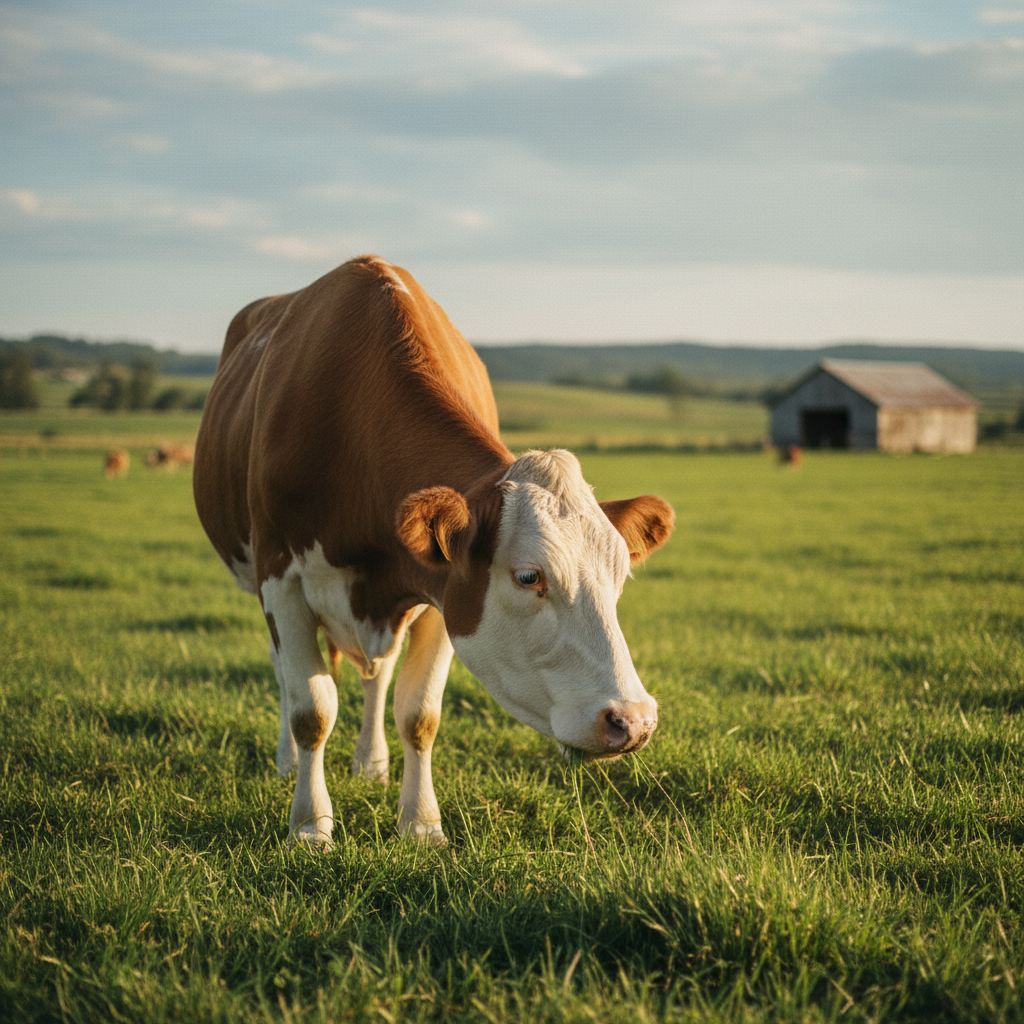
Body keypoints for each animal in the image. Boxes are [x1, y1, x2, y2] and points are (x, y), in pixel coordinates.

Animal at [193, 256, 674, 846]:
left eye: (619, 576)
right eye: (528, 577)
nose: (634, 720)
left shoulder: (441, 595)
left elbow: (419, 713)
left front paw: (420, 824)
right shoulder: (279, 578)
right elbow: (312, 709)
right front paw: (309, 826)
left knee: (377, 674)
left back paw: (371, 764)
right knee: (287, 672)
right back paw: (288, 763)